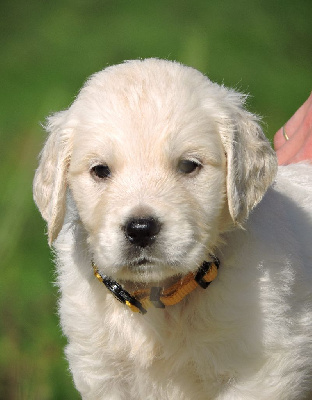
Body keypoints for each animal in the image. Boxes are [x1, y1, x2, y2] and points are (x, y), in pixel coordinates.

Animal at [32, 57, 312, 398]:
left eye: (188, 165)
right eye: (100, 170)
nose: (141, 228)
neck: (161, 299)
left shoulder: (263, 368)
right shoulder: (101, 371)